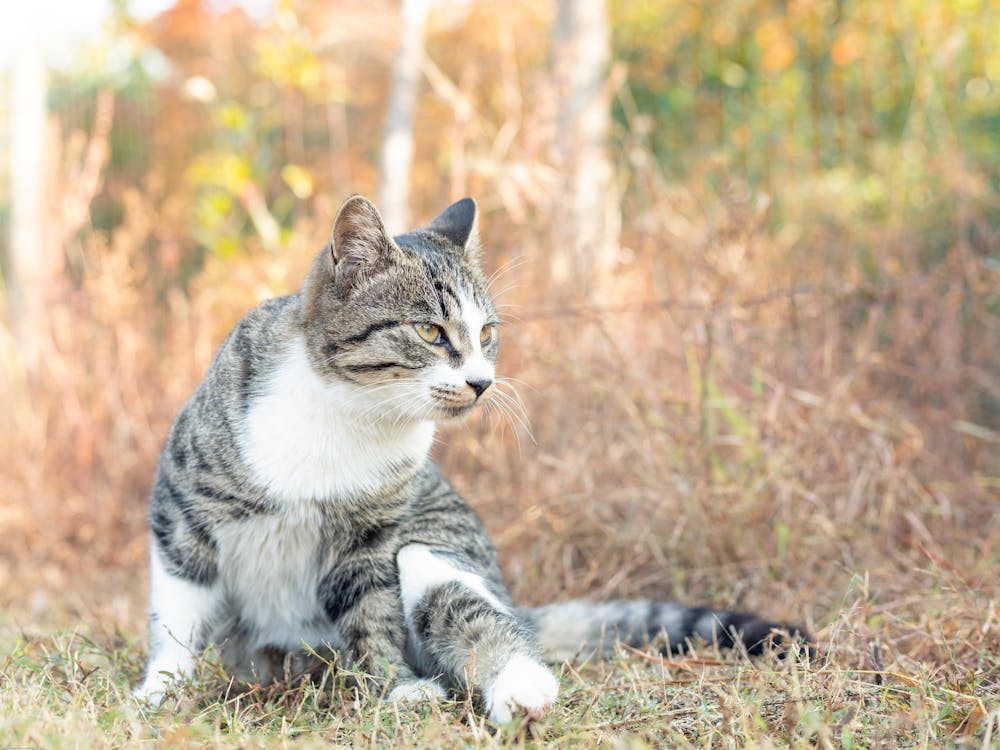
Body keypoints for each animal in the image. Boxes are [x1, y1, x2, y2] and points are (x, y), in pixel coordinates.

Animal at [135, 194, 804, 724]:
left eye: (486, 334)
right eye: (431, 333)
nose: (482, 382)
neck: (346, 411)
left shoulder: (374, 539)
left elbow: (372, 616)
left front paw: (392, 690)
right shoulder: (181, 511)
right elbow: (178, 615)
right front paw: (161, 691)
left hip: (431, 547)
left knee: (480, 620)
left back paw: (519, 690)